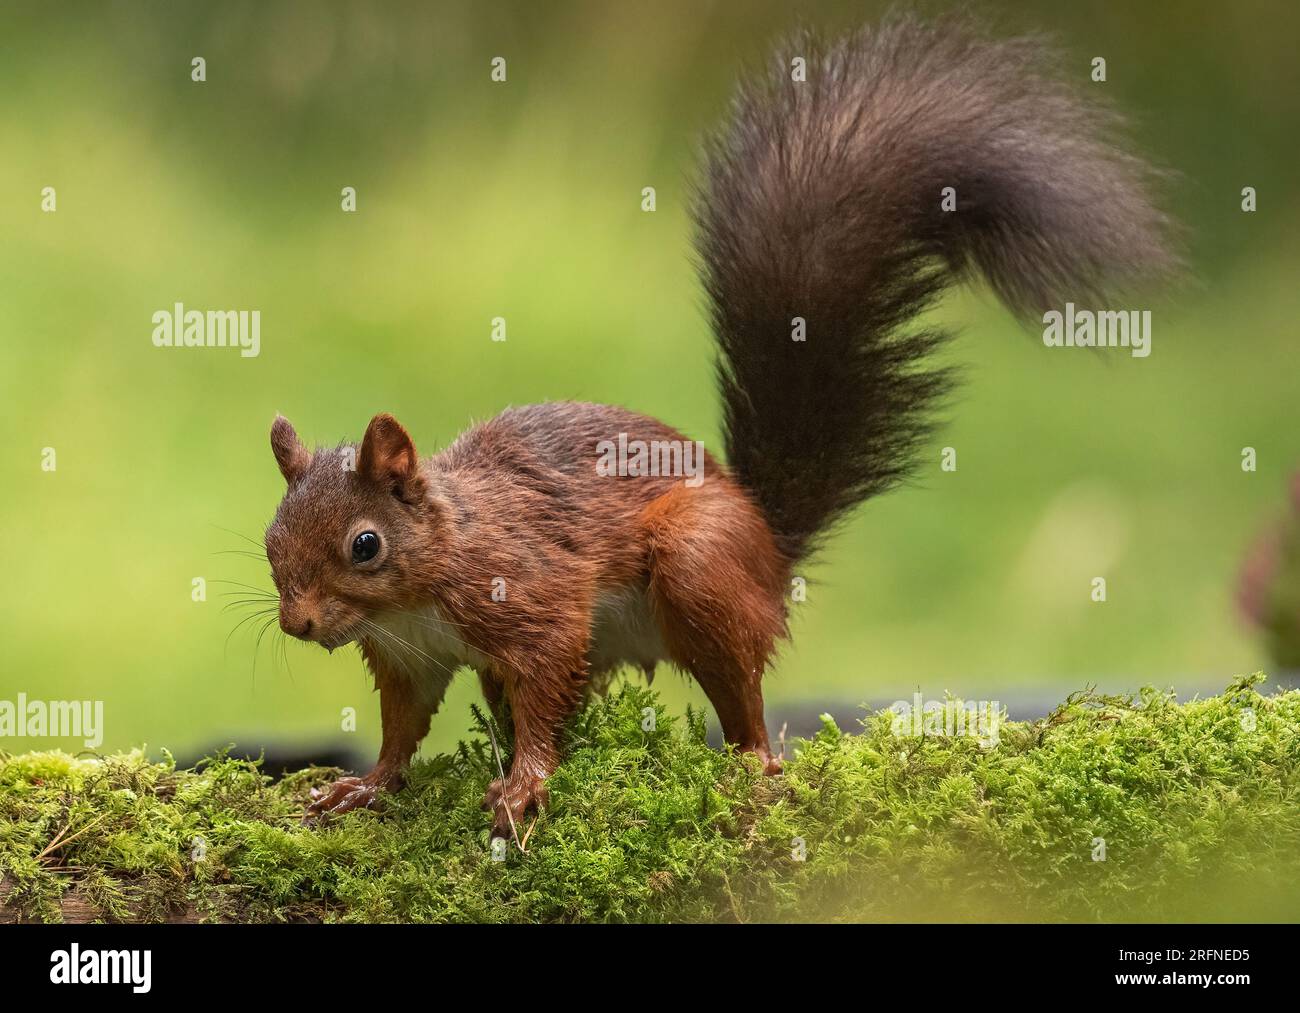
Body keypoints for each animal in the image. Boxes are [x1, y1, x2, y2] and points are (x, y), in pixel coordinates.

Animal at [263, 15, 1180, 837]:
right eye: (271, 543)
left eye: (366, 544)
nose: (297, 623)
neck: (427, 575)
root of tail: (769, 545)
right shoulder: (408, 657)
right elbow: (402, 728)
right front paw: (365, 786)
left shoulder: (528, 593)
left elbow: (544, 677)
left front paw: (524, 784)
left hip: (701, 564)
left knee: (736, 693)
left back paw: (749, 761)